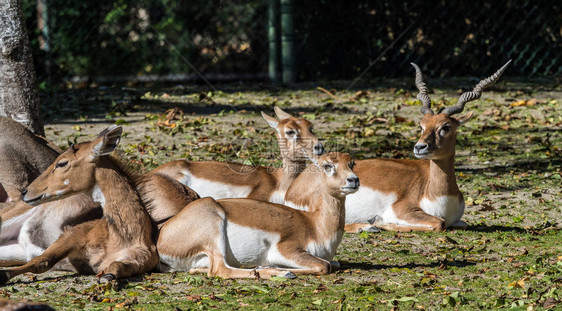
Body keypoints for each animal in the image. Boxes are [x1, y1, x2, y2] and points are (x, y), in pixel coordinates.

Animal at [0, 127, 158, 286]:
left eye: (62, 163)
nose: (26, 192)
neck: (125, 238)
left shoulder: (140, 261)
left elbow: (117, 265)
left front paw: (107, 276)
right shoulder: (73, 234)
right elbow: (42, 261)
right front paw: (3, 276)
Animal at [155, 152, 356, 280]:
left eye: (351, 163)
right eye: (327, 165)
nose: (353, 180)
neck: (314, 224)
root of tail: (162, 236)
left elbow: (334, 263)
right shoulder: (287, 249)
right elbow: (324, 265)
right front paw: (274, 268)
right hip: (214, 228)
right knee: (220, 270)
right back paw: (278, 272)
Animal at [344, 60, 510, 234]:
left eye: (446, 126)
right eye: (421, 126)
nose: (419, 147)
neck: (439, 195)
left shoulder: (457, 221)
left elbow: (461, 223)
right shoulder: (401, 209)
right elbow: (440, 223)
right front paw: (378, 221)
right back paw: (366, 226)